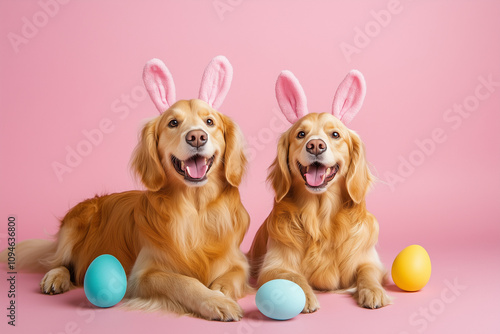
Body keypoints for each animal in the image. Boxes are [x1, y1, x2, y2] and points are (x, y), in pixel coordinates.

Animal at [0, 56, 250, 320]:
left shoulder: (239, 263)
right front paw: (215, 301)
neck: (196, 208)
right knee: (61, 262)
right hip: (77, 220)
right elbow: (184, 282)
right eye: (173, 123)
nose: (197, 137)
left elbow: (228, 278)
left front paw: (220, 293)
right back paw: (55, 277)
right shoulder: (143, 275)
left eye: (210, 122)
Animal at [249, 70, 390, 310]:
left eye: (335, 135)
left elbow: (368, 272)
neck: (320, 216)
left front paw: (374, 291)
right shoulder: (273, 266)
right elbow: (293, 276)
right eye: (300, 134)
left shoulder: (368, 261)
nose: (315, 145)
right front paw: (304, 295)